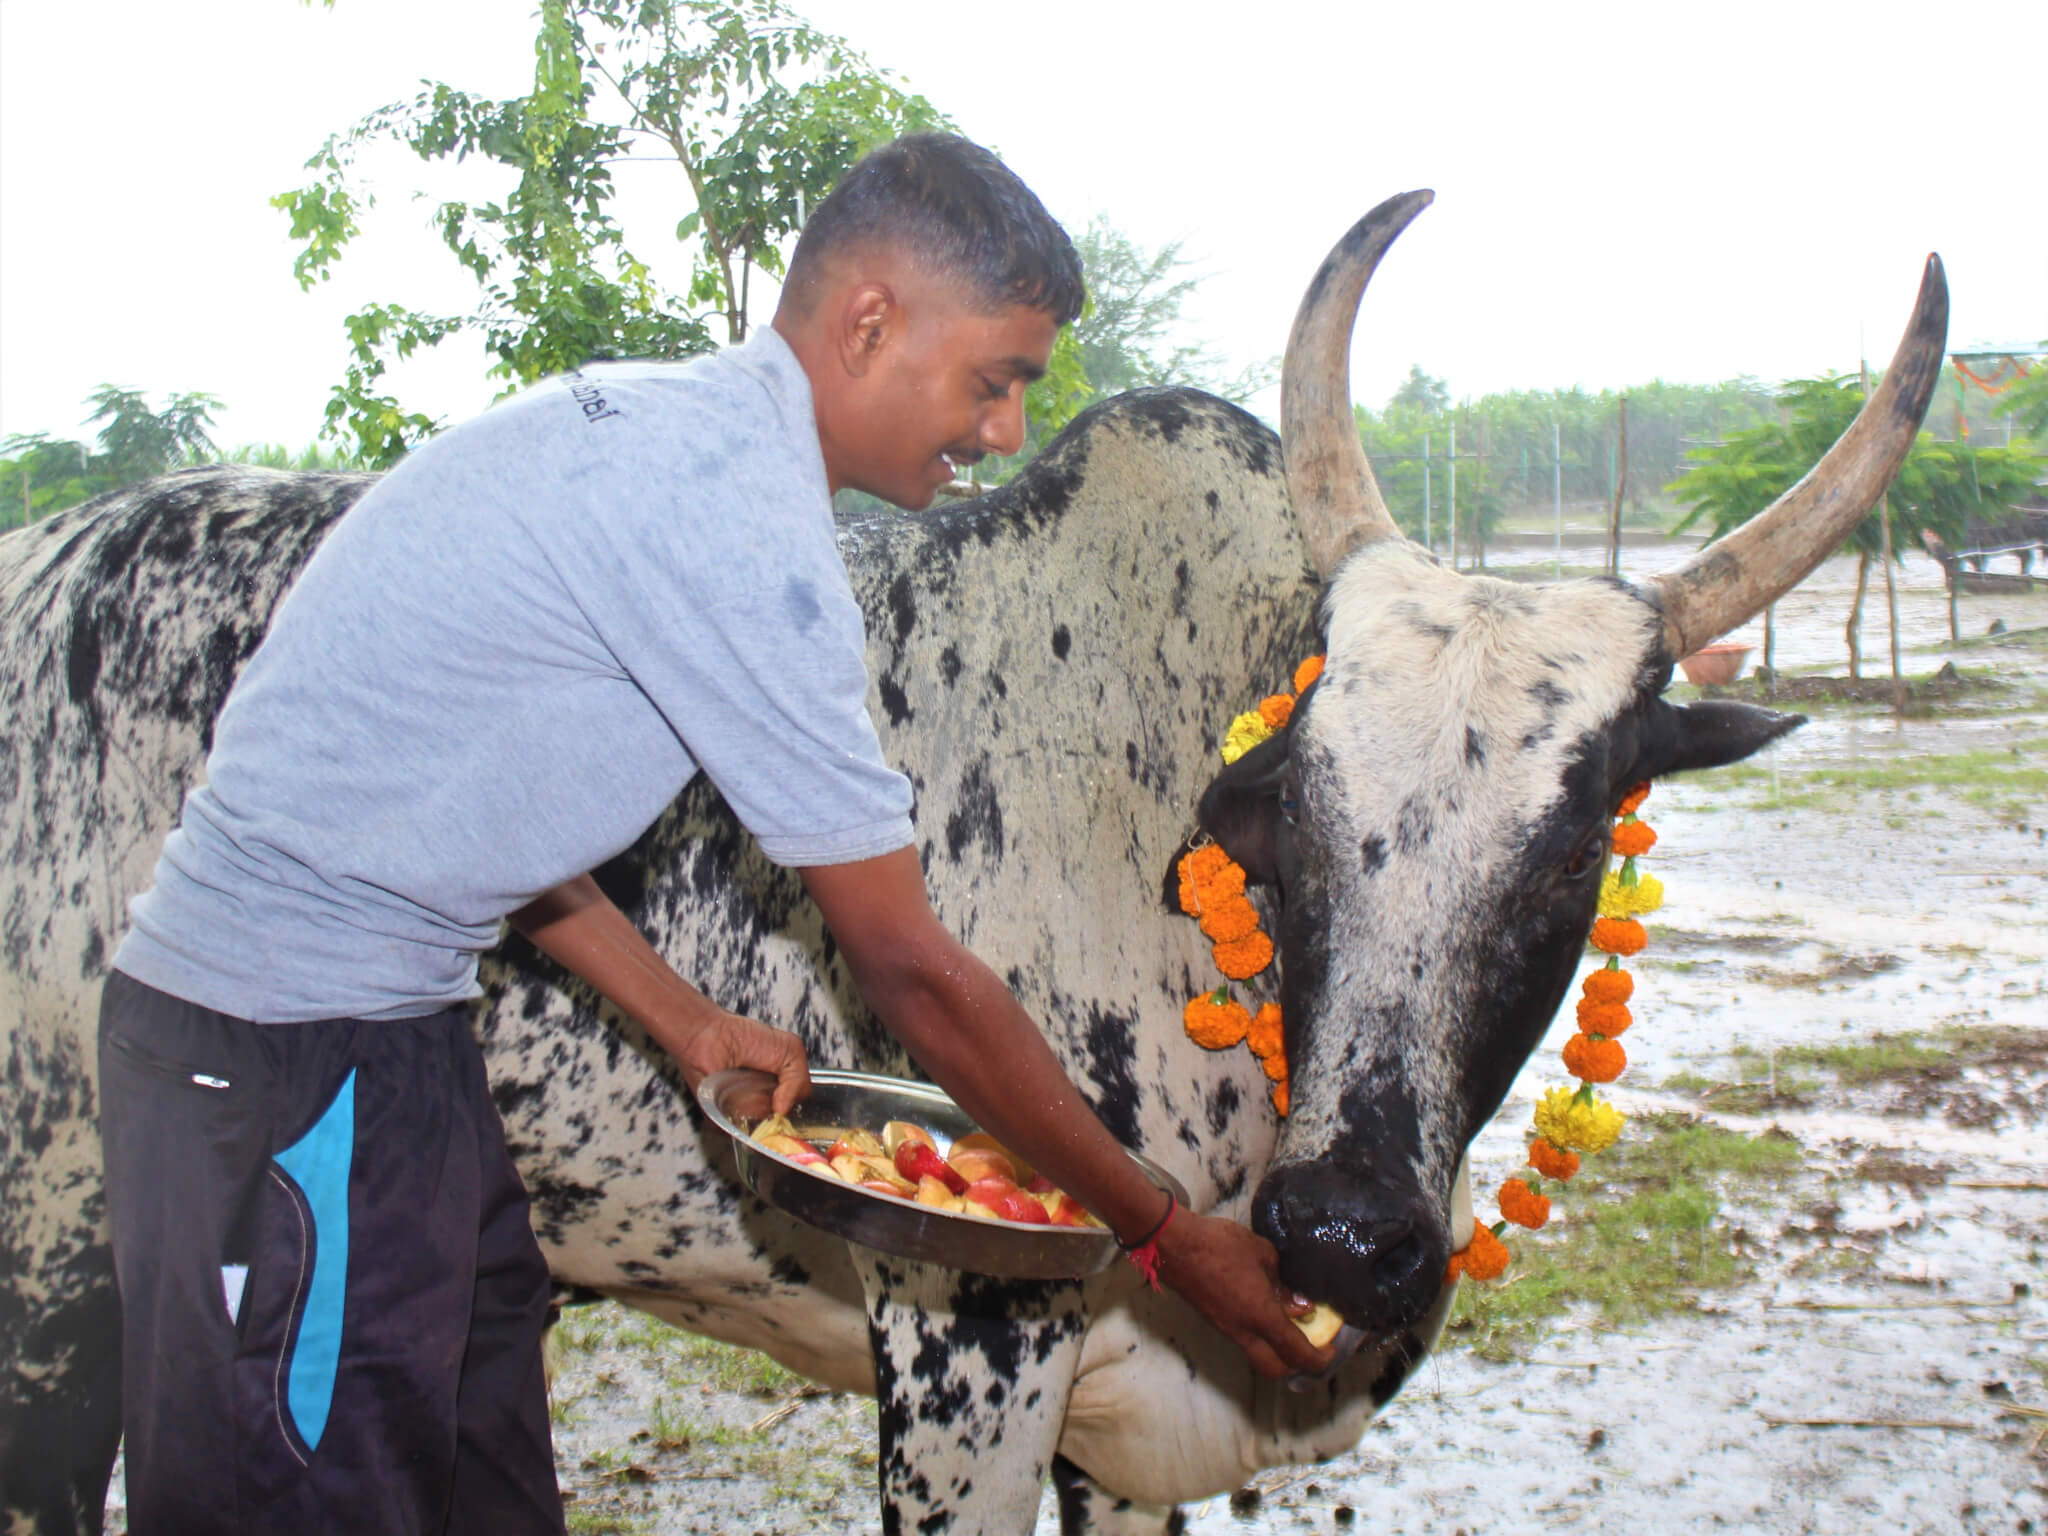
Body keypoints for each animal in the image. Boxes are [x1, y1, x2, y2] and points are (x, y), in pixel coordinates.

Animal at [4, 195, 1949, 1536]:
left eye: (1572, 843)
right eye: (1295, 816)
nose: (1342, 1230)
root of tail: (49, 553)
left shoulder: (1134, 1445)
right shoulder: (965, 1361)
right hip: (64, 1223)